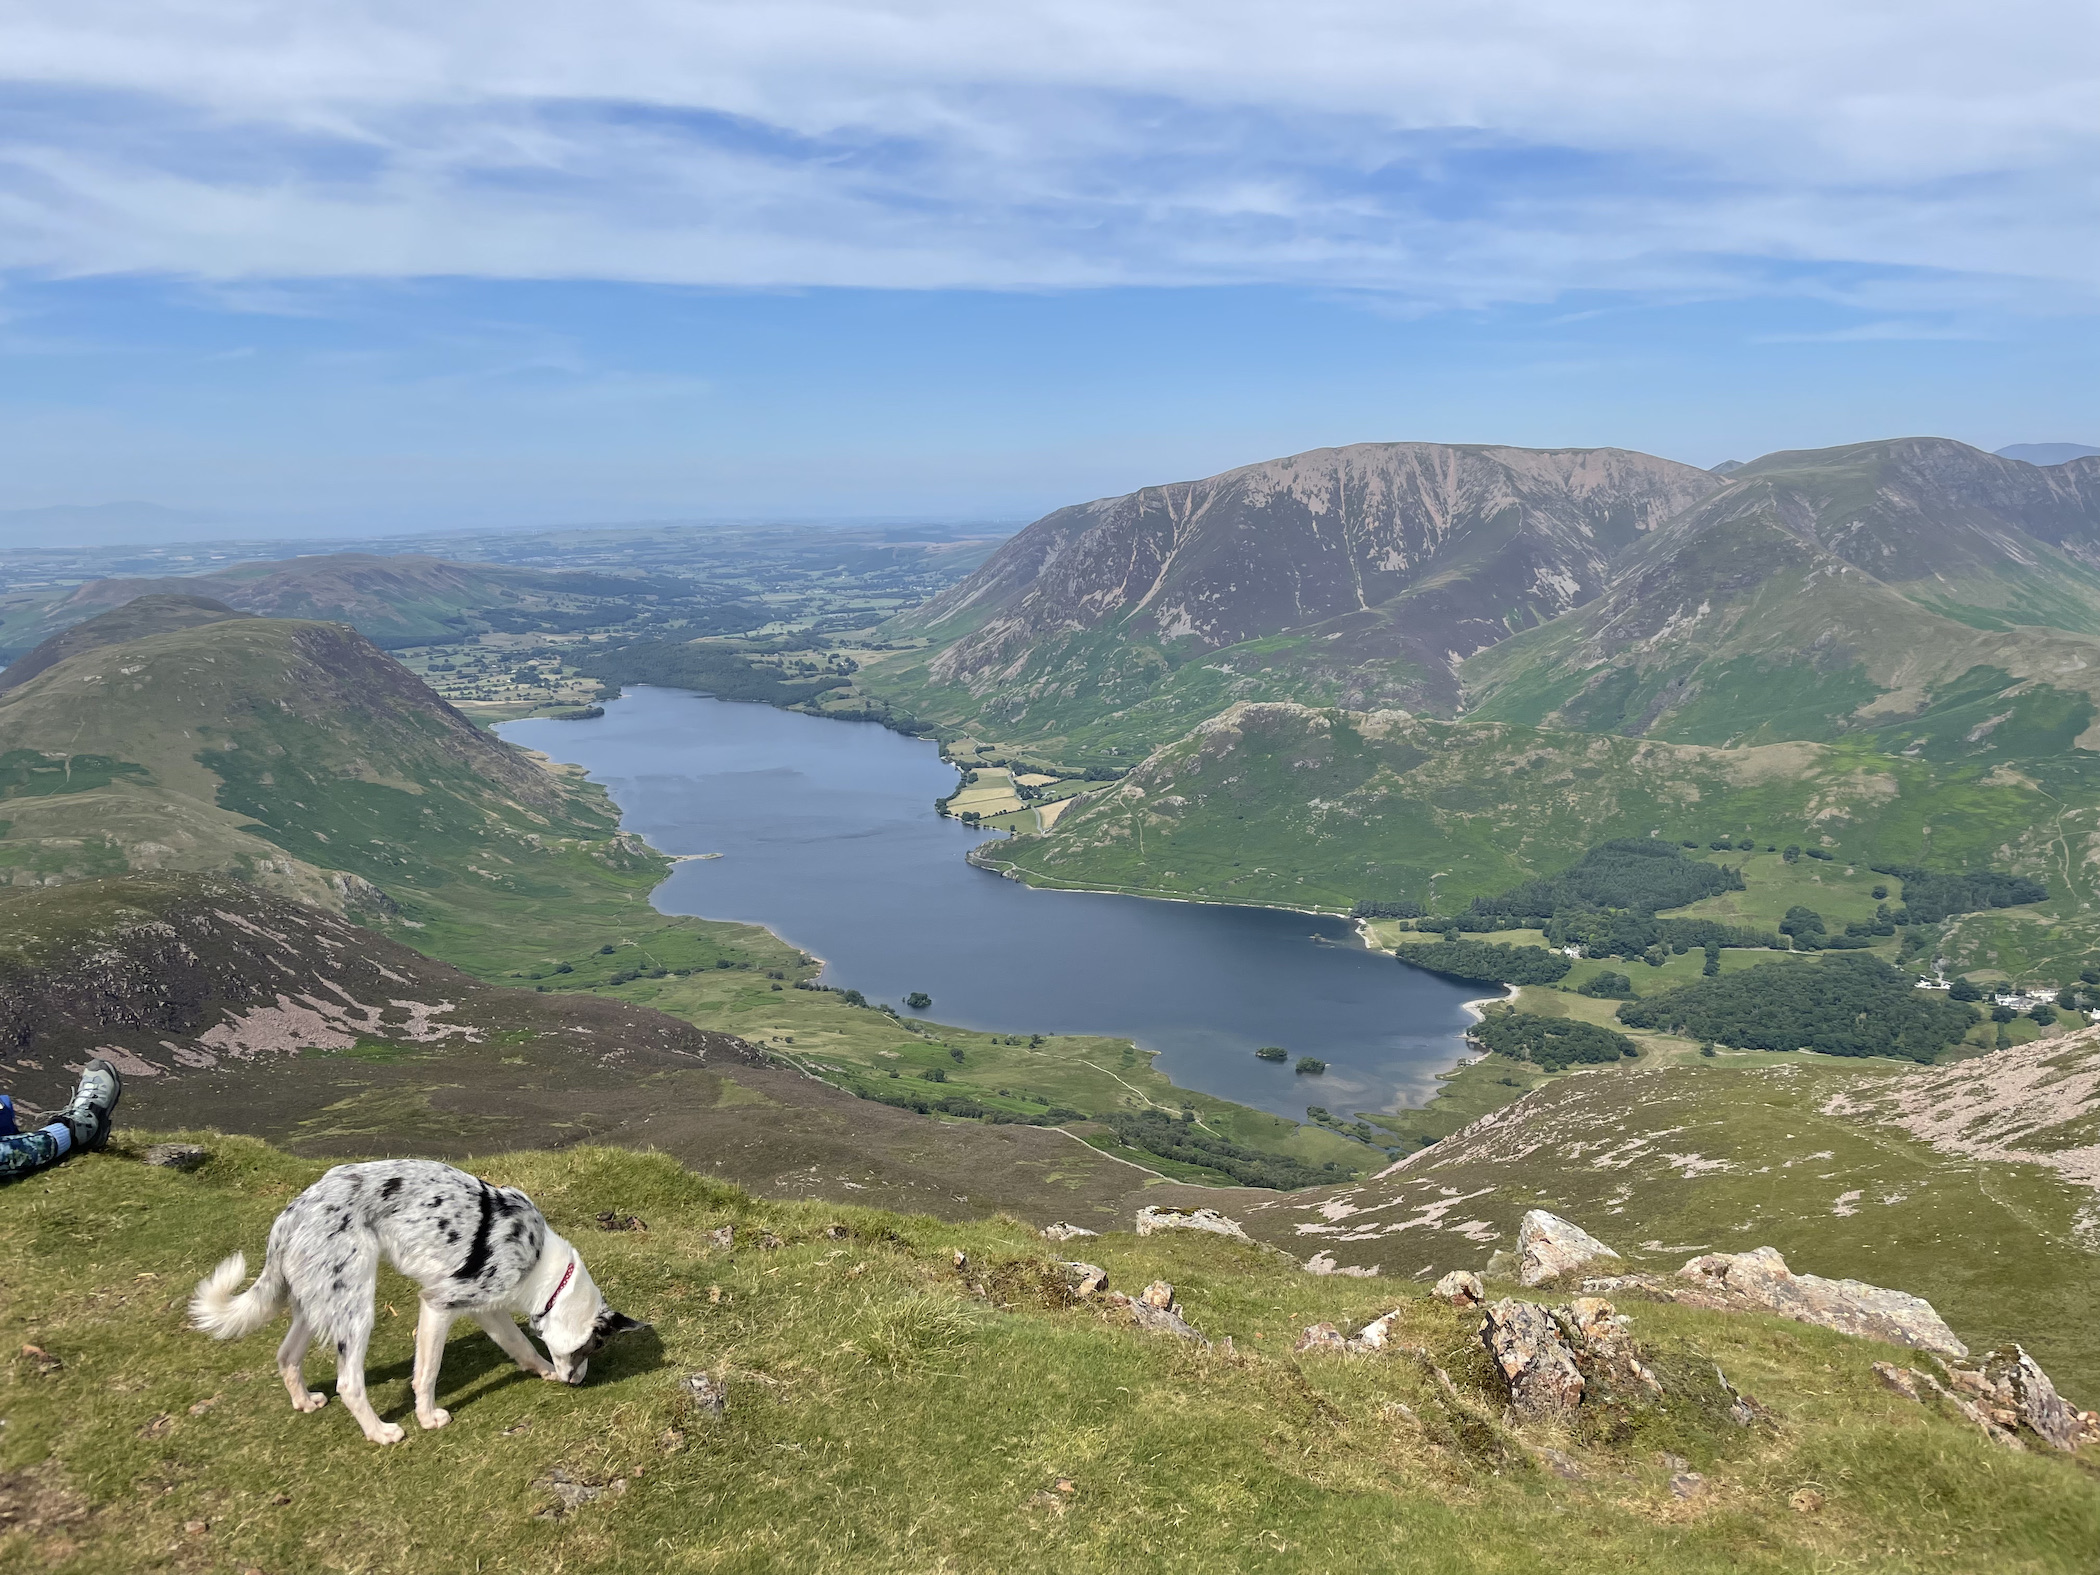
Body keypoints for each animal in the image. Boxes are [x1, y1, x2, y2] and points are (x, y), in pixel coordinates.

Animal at [188, 1167, 646, 1453]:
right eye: (595, 1347)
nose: (578, 1383)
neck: (545, 1269)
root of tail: (288, 1216)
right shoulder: (439, 1303)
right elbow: (426, 1372)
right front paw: (428, 1418)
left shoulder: (486, 1308)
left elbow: (521, 1346)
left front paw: (544, 1370)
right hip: (357, 1306)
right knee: (349, 1383)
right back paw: (381, 1433)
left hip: (317, 1301)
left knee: (285, 1356)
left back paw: (304, 1402)